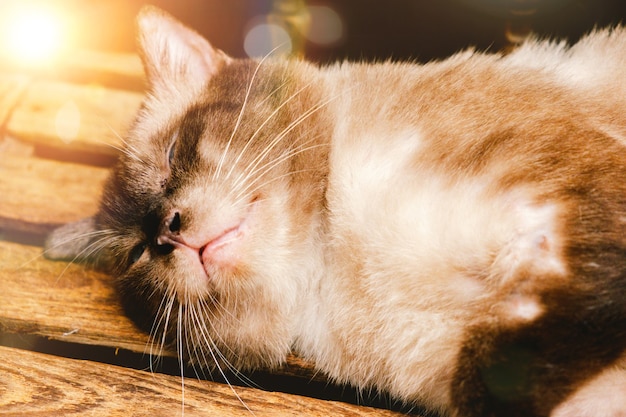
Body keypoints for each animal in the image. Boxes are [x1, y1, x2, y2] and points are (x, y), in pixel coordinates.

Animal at [46, 6, 624, 416]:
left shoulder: (565, 205)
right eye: (136, 254)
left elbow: (509, 368)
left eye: (170, 159)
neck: (336, 260)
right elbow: (490, 378)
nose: (168, 232)